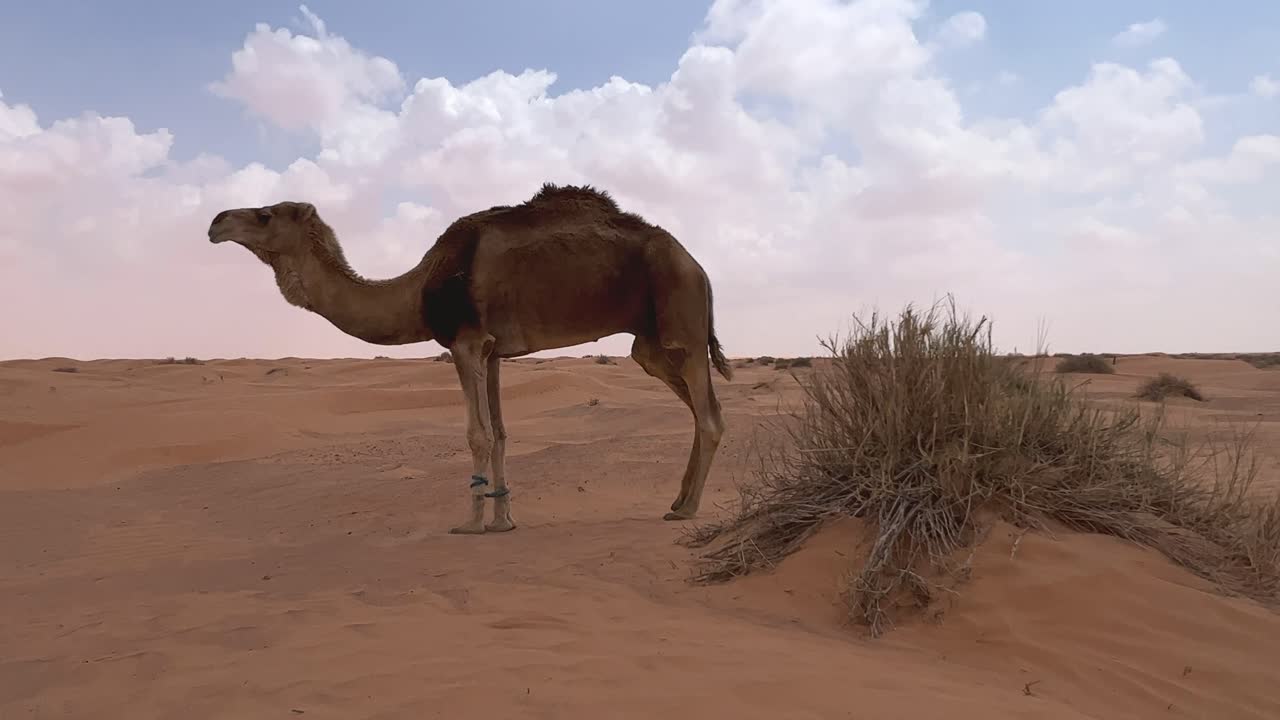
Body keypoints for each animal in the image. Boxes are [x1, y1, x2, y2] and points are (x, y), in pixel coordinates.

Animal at [207, 183, 732, 534]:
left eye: (265, 214)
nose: (215, 222)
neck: (419, 288)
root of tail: (699, 266)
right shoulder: (493, 349)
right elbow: (500, 434)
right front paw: (504, 519)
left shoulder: (463, 342)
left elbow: (476, 434)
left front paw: (472, 523)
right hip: (650, 342)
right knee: (699, 406)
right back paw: (678, 499)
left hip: (680, 316)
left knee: (708, 415)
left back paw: (687, 510)